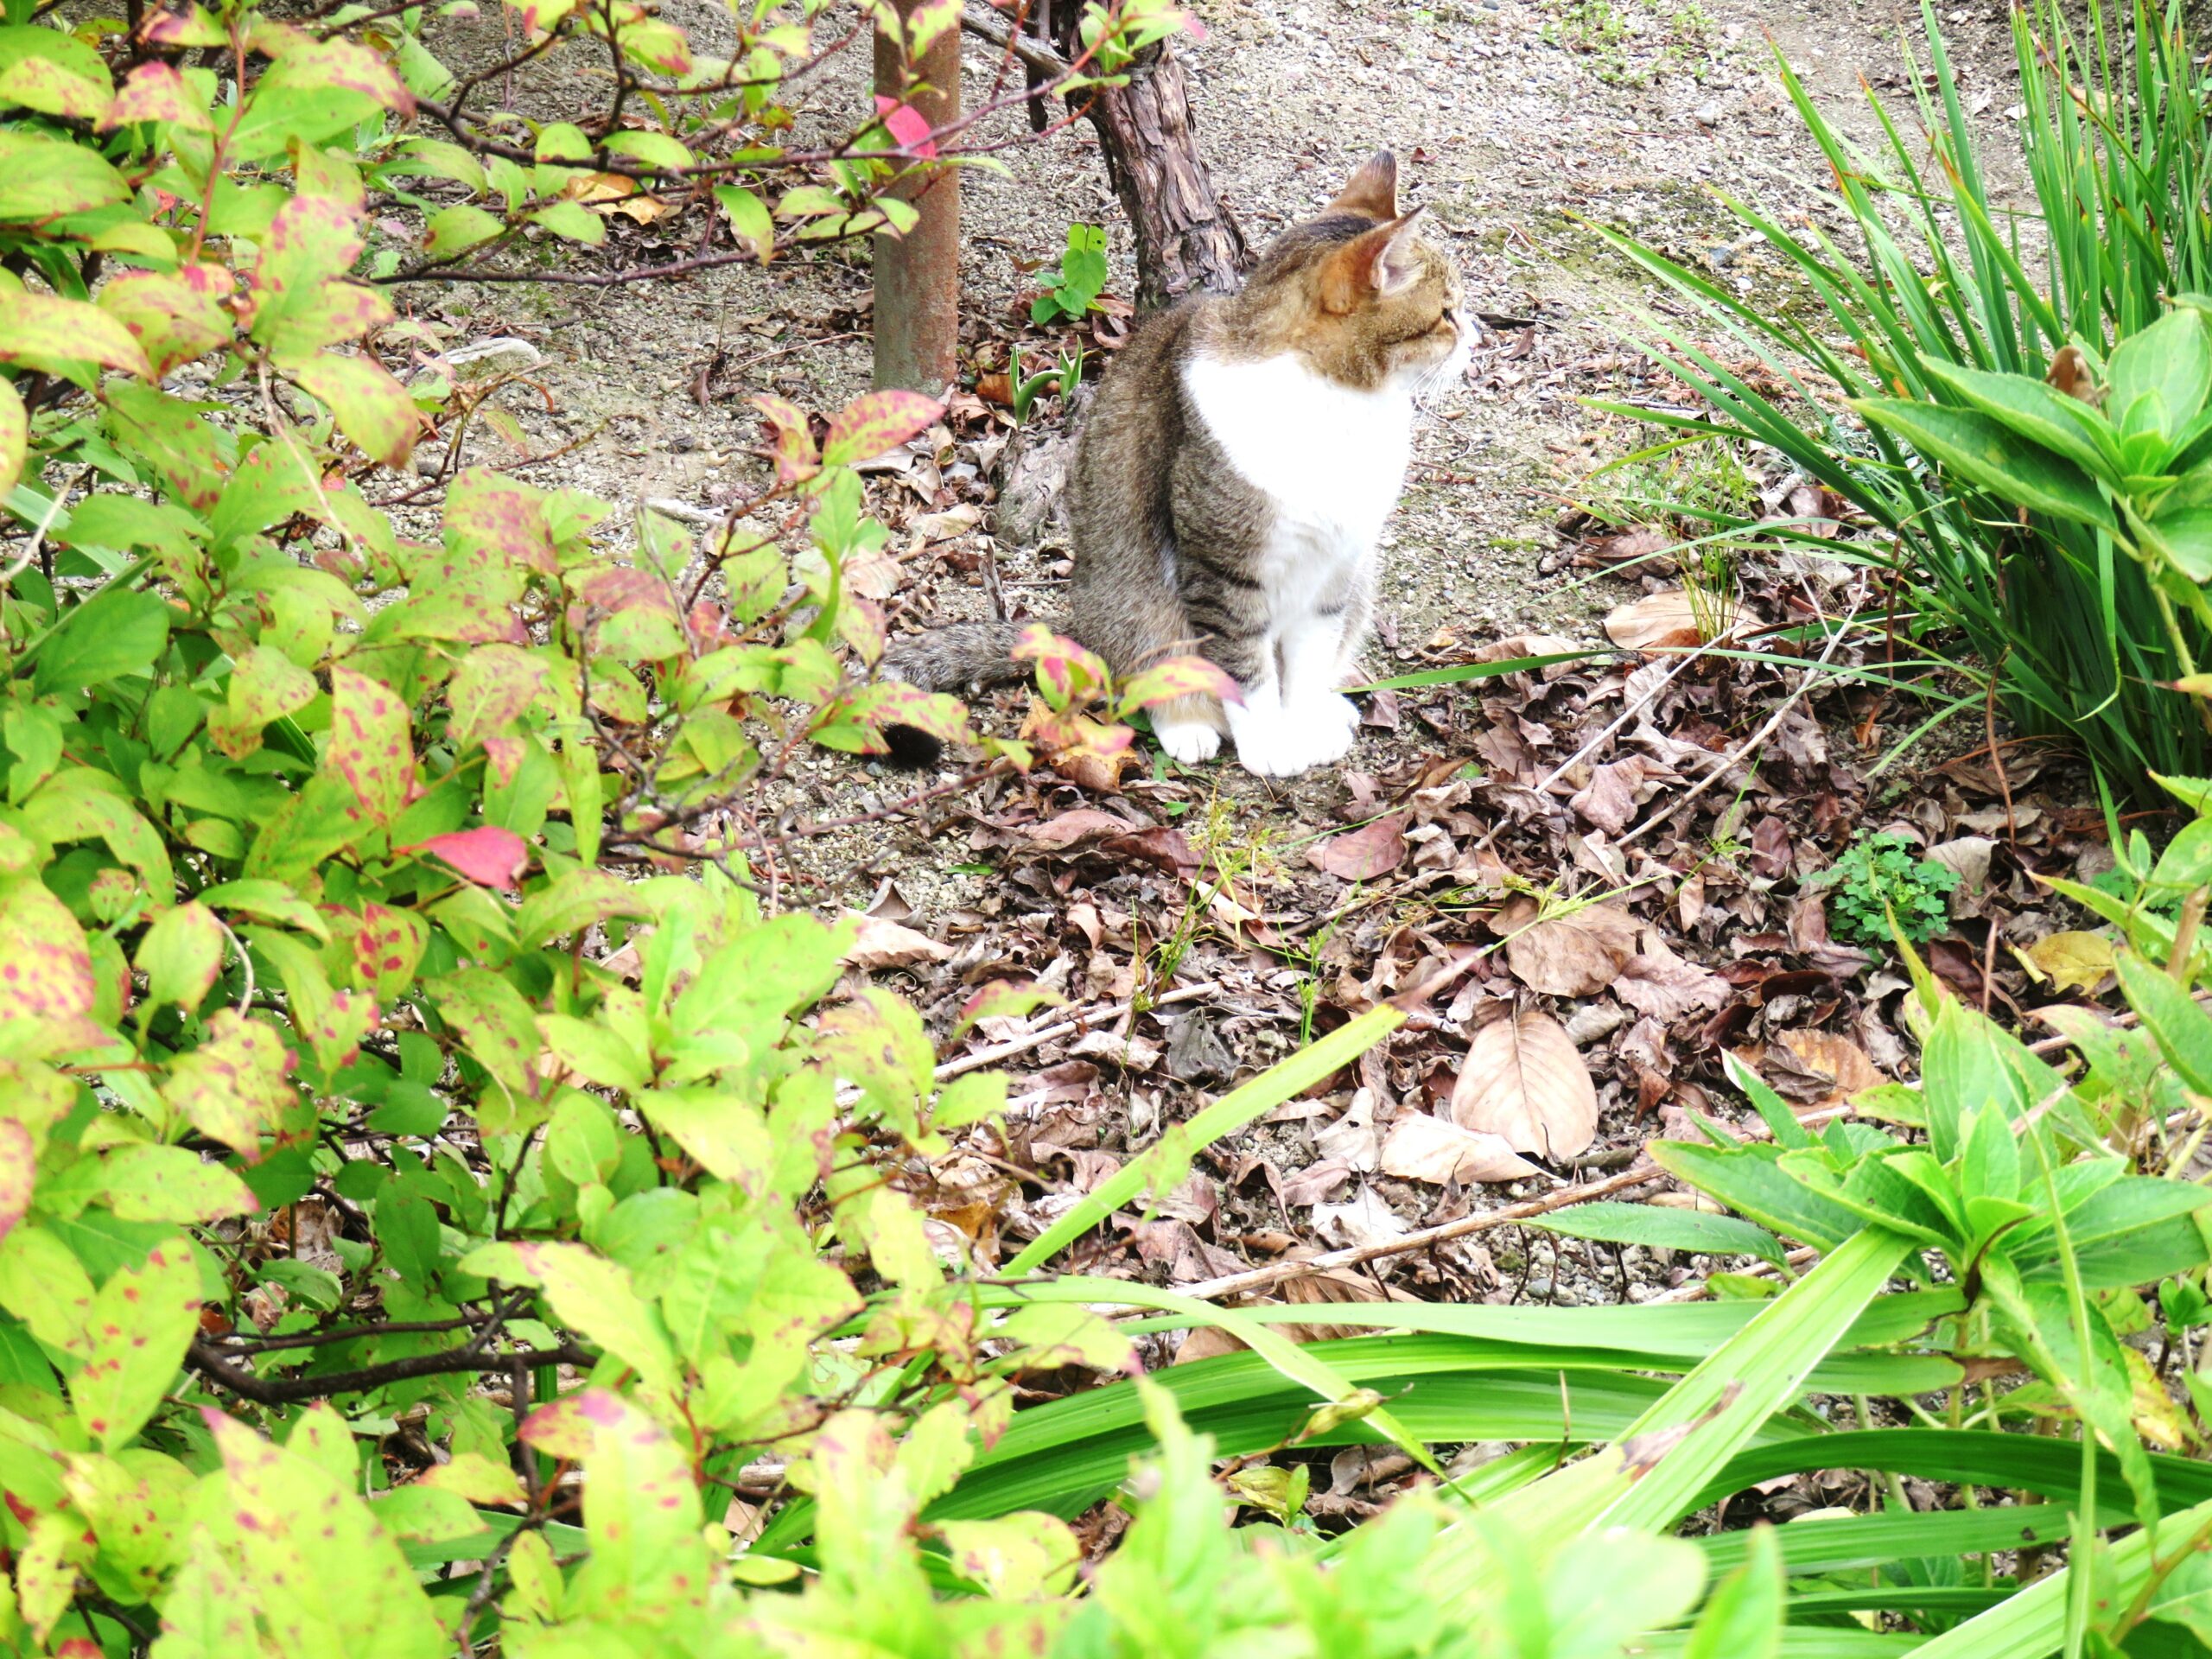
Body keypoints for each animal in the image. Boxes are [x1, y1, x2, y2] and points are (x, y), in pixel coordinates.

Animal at [880, 149, 1468, 779]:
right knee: (1148, 672)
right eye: (1447, 314)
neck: (1343, 411)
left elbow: (1307, 663)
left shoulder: (1336, 567)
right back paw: (1188, 726)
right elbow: (1246, 670)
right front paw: (1269, 745)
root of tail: (1084, 627)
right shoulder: (1221, 568)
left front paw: (1306, 724)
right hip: (1141, 608)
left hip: (1358, 587)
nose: (1478, 335)